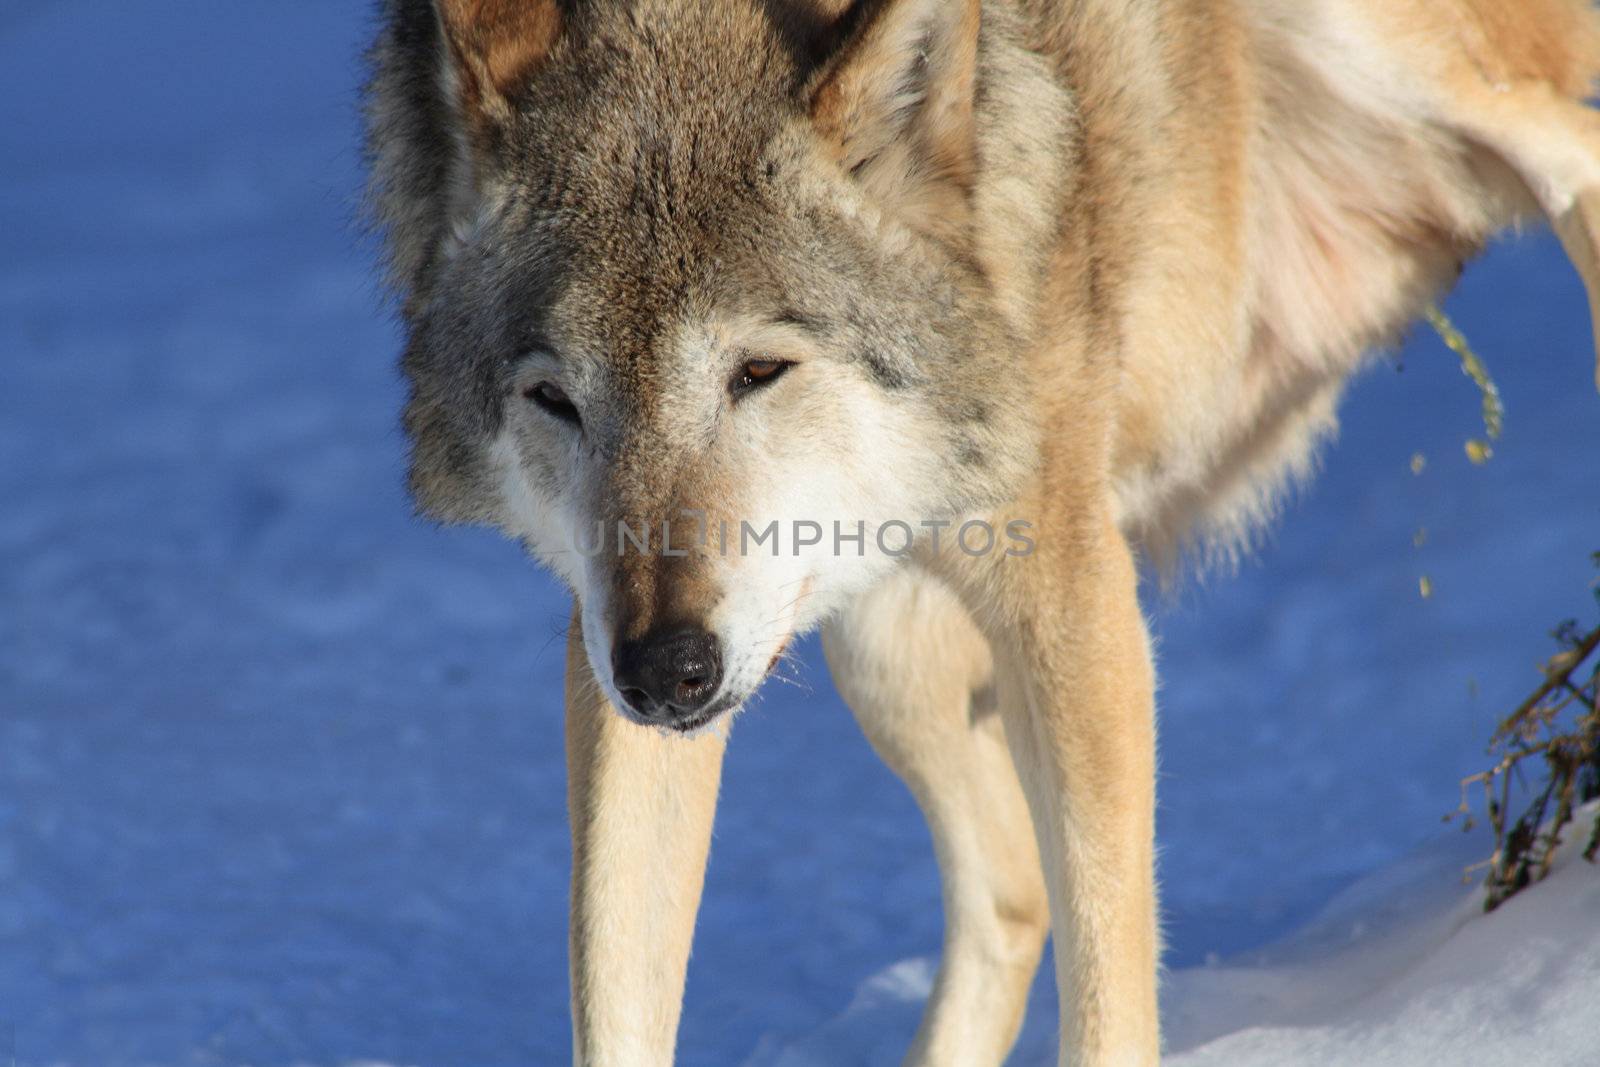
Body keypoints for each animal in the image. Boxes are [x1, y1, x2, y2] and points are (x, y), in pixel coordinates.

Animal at [363, 4, 1600, 1062]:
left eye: (757, 370)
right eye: (555, 400)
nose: (668, 670)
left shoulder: (1069, 587)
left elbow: (1109, 981)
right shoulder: (608, 648)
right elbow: (616, 990)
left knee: (1572, 153)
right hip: (879, 645)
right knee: (1012, 892)